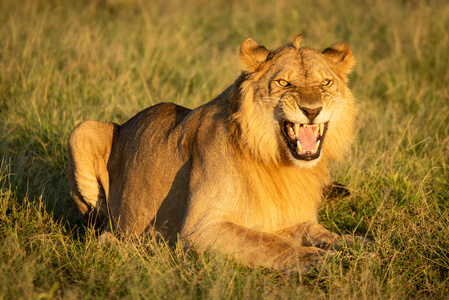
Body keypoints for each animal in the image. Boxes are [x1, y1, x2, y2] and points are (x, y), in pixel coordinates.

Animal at [66, 35, 358, 272]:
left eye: (326, 82)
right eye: (283, 82)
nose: (312, 110)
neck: (277, 160)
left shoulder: (281, 218)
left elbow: (313, 230)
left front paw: (355, 244)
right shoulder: (200, 230)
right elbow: (270, 243)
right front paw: (320, 258)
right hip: (83, 130)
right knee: (99, 228)